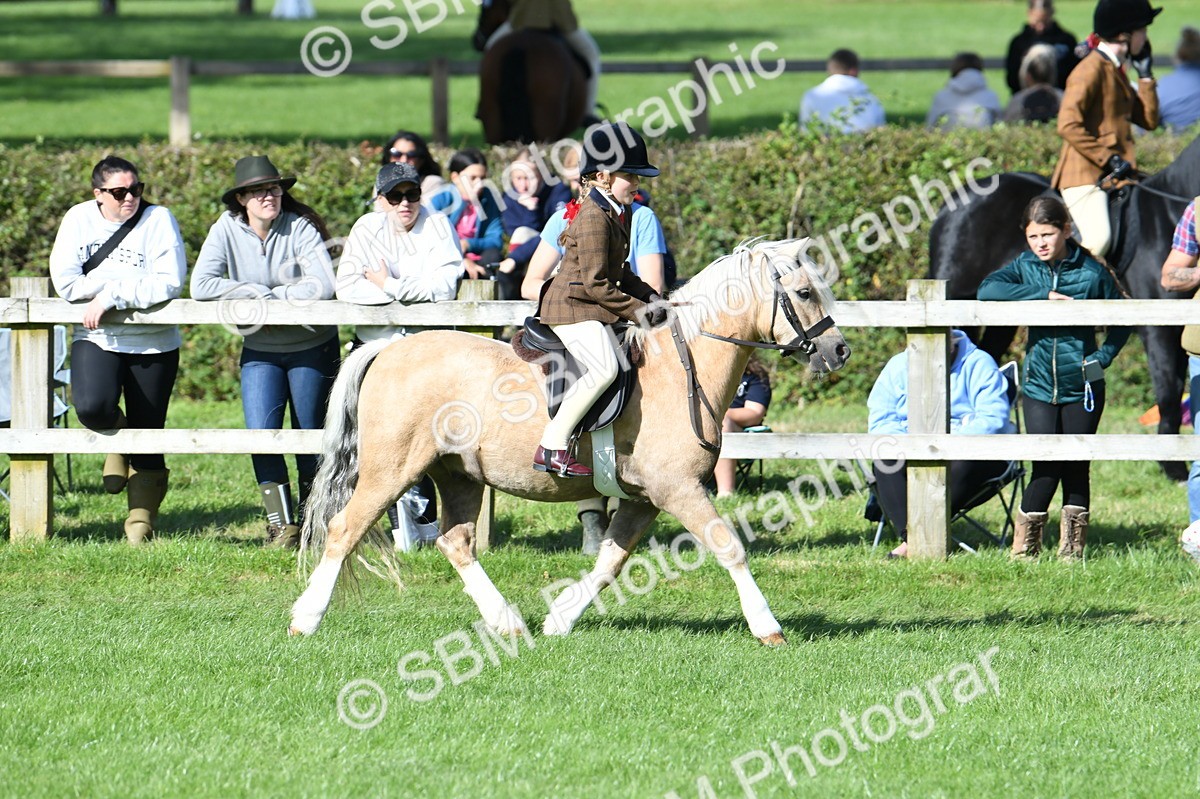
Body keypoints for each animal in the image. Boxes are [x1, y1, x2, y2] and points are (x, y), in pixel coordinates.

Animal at [288, 239, 851, 645]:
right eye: (804, 293)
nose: (839, 350)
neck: (681, 367)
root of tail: (388, 348)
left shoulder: (645, 499)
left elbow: (610, 562)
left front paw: (559, 619)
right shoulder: (678, 489)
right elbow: (728, 547)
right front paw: (767, 627)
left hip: (459, 474)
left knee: (456, 542)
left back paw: (508, 623)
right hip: (392, 470)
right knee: (344, 530)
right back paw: (306, 620)